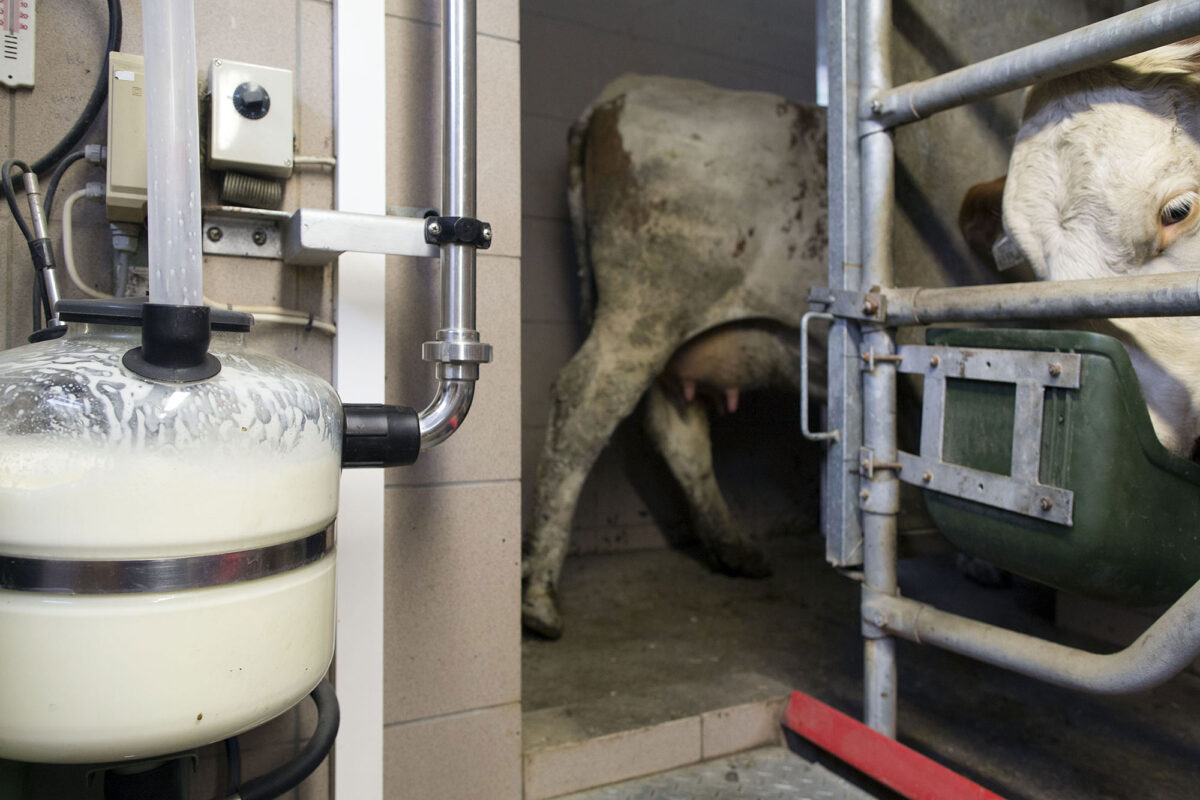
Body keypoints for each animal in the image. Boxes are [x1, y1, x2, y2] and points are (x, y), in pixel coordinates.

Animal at [520, 74, 830, 638]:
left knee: (677, 433)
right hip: (648, 305)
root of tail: (624, 87)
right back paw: (538, 597)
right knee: (584, 405)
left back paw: (735, 550)